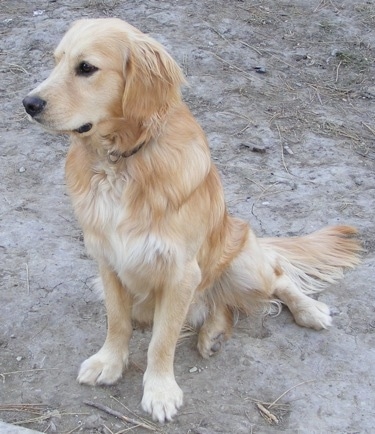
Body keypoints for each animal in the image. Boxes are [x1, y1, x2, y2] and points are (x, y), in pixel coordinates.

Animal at [22, 18, 362, 422]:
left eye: (86, 67)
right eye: (56, 61)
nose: (28, 103)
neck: (120, 163)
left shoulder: (180, 271)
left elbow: (162, 340)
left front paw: (160, 391)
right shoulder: (108, 262)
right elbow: (117, 321)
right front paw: (110, 362)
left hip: (244, 264)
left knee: (277, 277)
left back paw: (308, 310)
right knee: (220, 307)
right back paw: (213, 334)